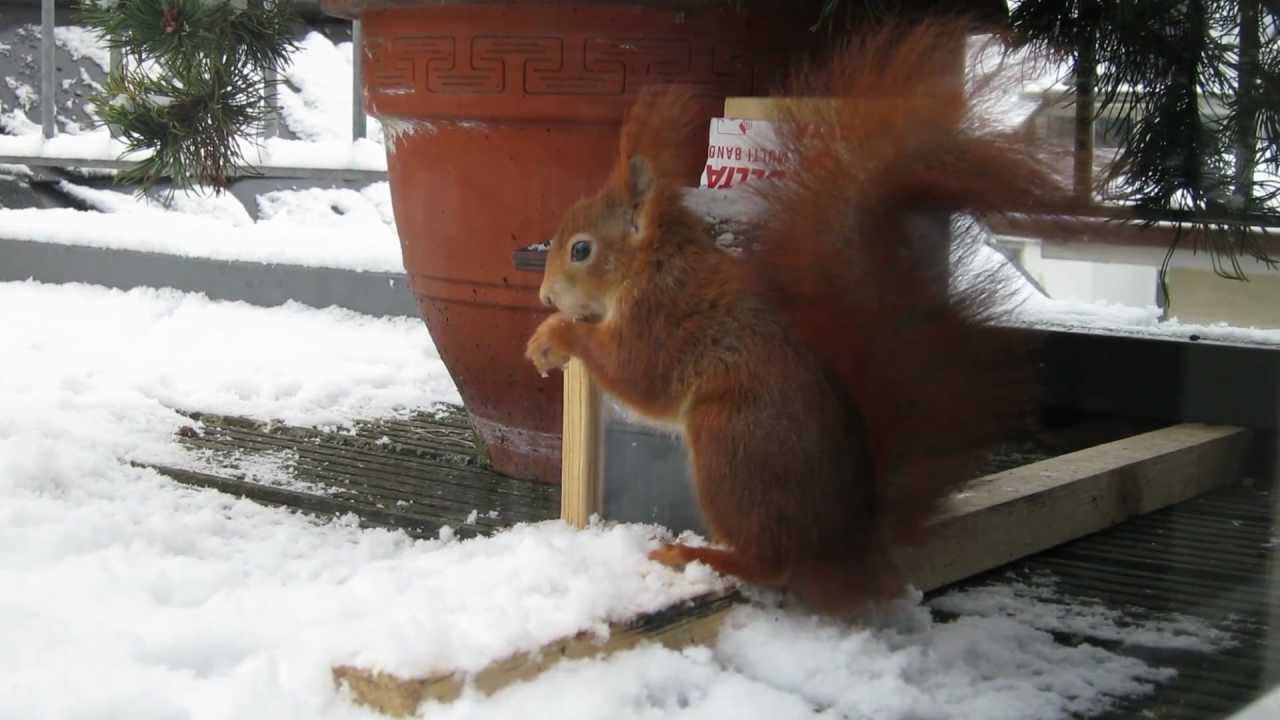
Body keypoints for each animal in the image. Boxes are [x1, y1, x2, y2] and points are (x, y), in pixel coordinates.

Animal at [525, 18, 1083, 614]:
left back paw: (699, 555)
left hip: (731, 441)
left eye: (581, 250)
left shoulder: (661, 316)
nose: (545, 296)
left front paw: (556, 335)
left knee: (768, 562)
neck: (650, 263)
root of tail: (846, 542)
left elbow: (637, 376)